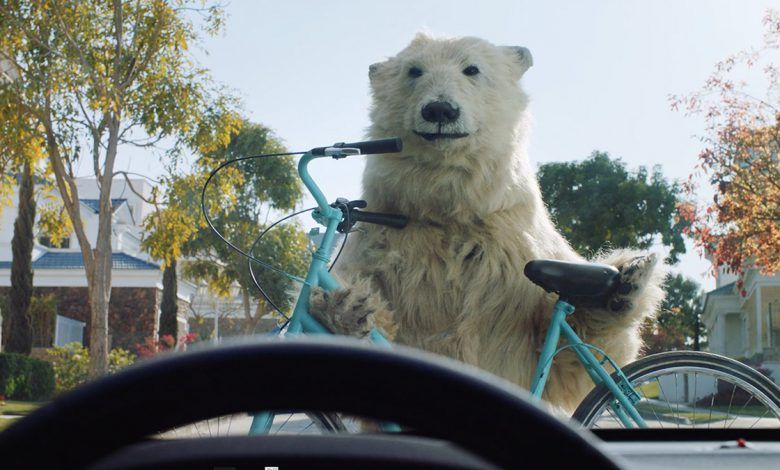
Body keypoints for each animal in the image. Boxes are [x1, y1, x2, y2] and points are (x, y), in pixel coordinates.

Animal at [310, 33, 666, 413]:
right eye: (414, 70)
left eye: (472, 69)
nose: (440, 110)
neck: (450, 210)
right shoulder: (381, 242)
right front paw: (345, 307)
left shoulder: (519, 251)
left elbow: (567, 363)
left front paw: (618, 291)